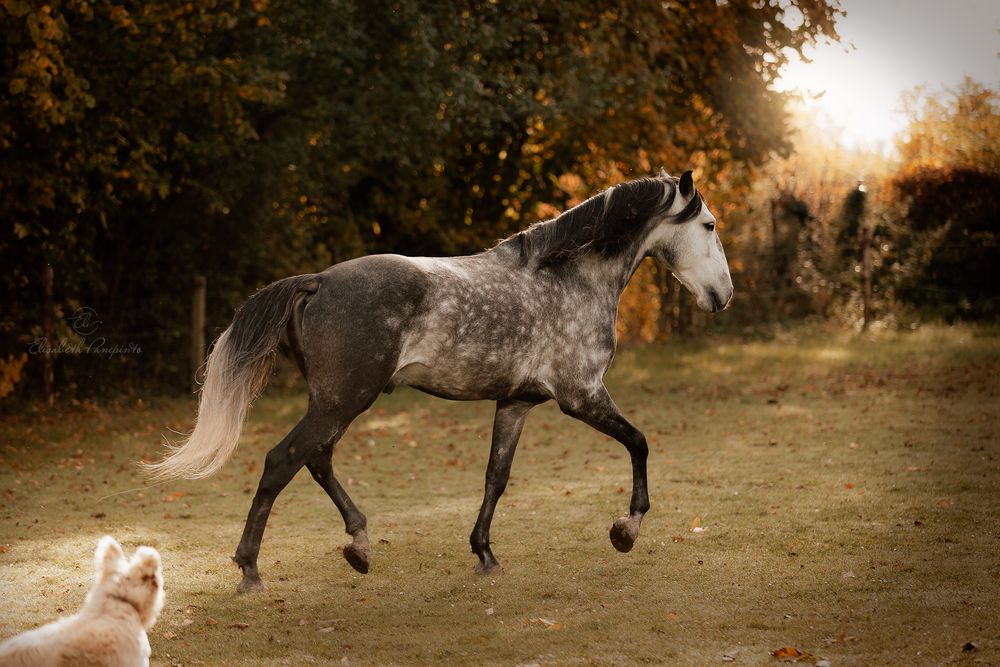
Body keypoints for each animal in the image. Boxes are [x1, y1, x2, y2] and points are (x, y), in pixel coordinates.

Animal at [146, 168, 733, 593]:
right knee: (281, 461)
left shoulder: (516, 403)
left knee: (316, 460)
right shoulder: (582, 396)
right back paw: (250, 570)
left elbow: (496, 477)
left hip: (335, 403)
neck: (570, 277)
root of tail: (317, 282)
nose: (723, 296)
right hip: (342, 401)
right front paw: (625, 530)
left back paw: (359, 546)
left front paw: (485, 554)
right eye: (708, 226)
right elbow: (639, 443)